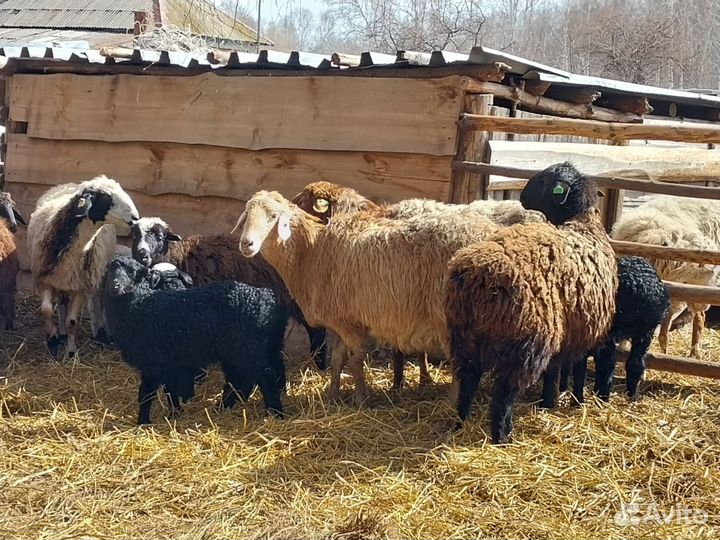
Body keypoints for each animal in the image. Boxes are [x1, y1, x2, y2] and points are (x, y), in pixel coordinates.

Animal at [26, 176, 140, 358]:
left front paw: (71, 353)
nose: (135, 218)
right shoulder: (44, 280)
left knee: (95, 300)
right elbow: (46, 311)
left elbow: (72, 321)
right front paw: (52, 341)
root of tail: (71, 183)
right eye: (105, 197)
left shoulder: (80, 288)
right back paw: (62, 333)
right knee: (62, 303)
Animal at [103, 256, 288, 424]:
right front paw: (175, 414)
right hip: (249, 349)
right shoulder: (171, 363)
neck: (140, 306)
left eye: (132, 273)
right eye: (110, 271)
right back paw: (225, 407)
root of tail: (265, 298)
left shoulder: (152, 363)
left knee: (264, 375)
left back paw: (275, 412)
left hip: (245, 348)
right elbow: (171, 390)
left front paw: (143, 422)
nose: (115, 286)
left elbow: (145, 395)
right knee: (246, 377)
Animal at [130, 217, 327, 370]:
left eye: (160, 236)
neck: (179, 258)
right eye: (134, 236)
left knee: (317, 330)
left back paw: (319, 364)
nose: (142, 254)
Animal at [236, 190, 506, 405]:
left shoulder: (351, 324)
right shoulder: (342, 320)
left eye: (273, 216)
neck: (312, 253)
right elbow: (337, 359)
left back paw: (452, 403)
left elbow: (355, 361)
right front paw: (332, 395)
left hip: (451, 318)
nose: (246, 244)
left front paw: (361, 399)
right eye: (247, 215)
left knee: (462, 362)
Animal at [445, 163, 618, 444]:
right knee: (503, 395)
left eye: (545, 180)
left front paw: (549, 402)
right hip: (524, 342)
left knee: (467, 382)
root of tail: (477, 275)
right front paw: (557, 401)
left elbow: (555, 370)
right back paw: (502, 436)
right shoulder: (579, 332)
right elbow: (567, 369)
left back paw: (460, 422)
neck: (581, 222)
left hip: (463, 337)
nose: (523, 197)